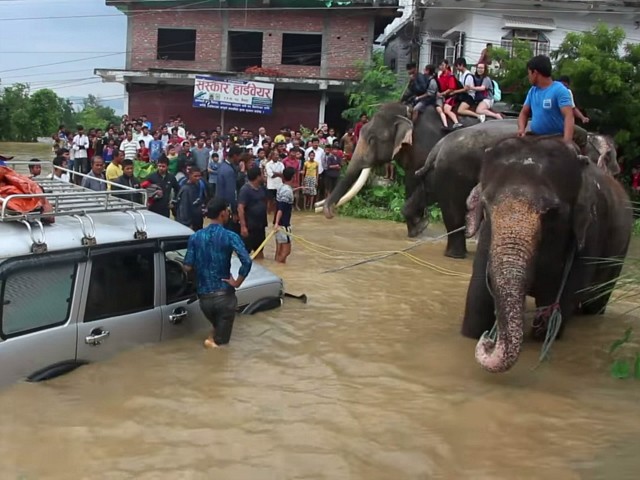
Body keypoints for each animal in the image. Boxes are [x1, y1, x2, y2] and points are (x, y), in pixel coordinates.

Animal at [316, 102, 484, 226]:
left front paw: (419, 225)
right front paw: (416, 227)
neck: (409, 113)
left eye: (372, 139)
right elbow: (411, 181)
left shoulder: (427, 146)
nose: (330, 213)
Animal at [404, 122, 620, 260]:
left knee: (427, 192)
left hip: (440, 171)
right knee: (453, 210)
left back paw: (418, 228)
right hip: (455, 171)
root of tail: (439, 146)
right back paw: (455, 255)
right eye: (614, 169)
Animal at [458, 135, 632, 376]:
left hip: (619, 253)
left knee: (595, 303)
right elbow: (477, 306)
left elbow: (551, 314)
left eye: (552, 212)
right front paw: (477, 331)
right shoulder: (486, 237)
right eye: (485, 206)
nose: (489, 341)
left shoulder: (589, 236)